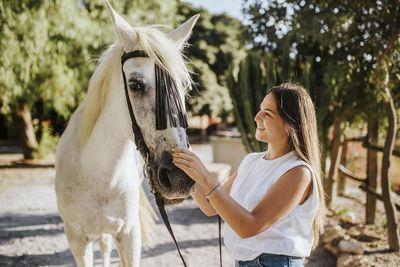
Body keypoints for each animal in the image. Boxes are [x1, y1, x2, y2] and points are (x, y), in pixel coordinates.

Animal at [55, 1, 199, 266]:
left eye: (184, 86)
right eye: (135, 85)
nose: (180, 177)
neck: (96, 174)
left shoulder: (130, 236)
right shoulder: (78, 242)